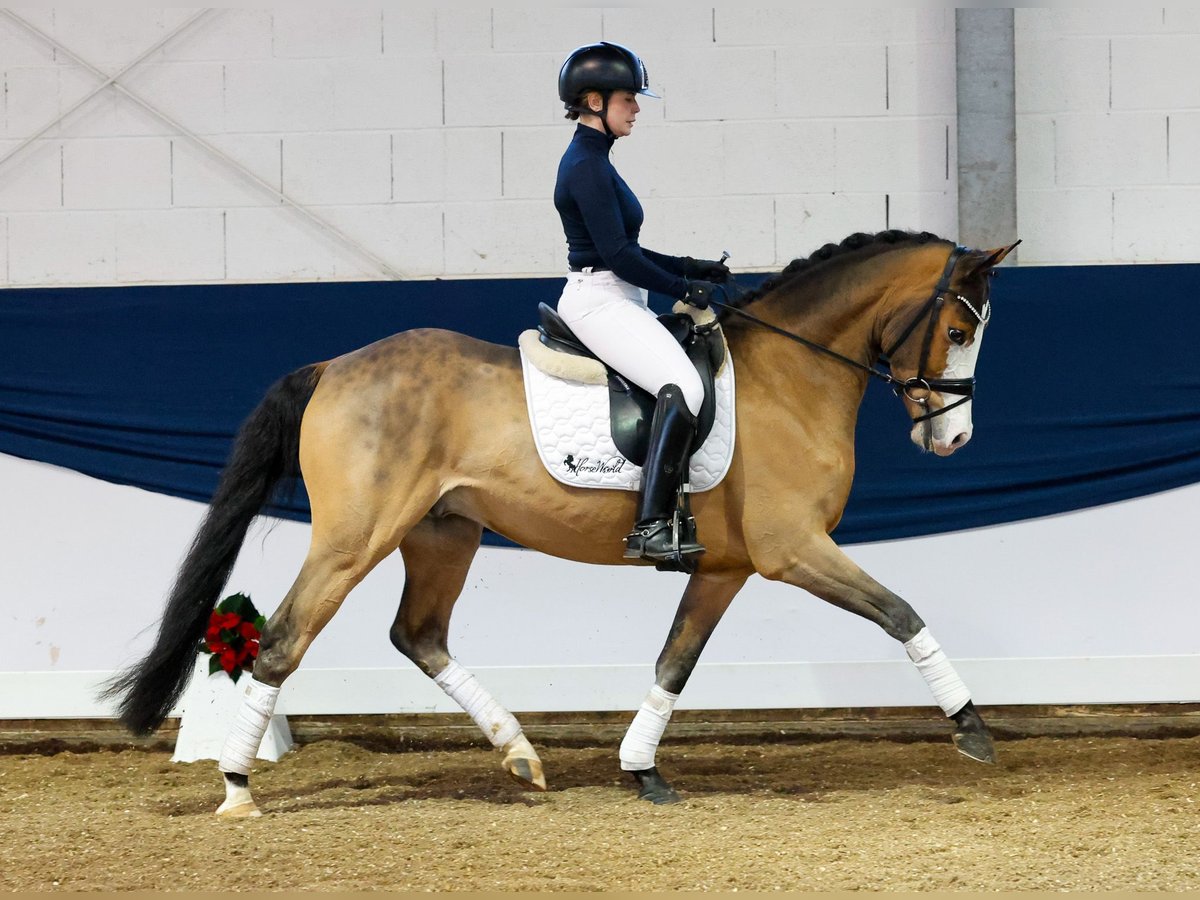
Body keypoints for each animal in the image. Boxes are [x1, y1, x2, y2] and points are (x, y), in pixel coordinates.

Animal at [103, 226, 1017, 816]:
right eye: (958, 328)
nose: (954, 439)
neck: (792, 376)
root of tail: (335, 366)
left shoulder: (726, 568)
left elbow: (674, 663)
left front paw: (642, 769)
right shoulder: (795, 550)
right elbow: (901, 612)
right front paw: (972, 729)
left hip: (444, 533)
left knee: (418, 634)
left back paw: (519, 751)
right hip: (353, 538)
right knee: (284, 639)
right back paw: (236, 788)